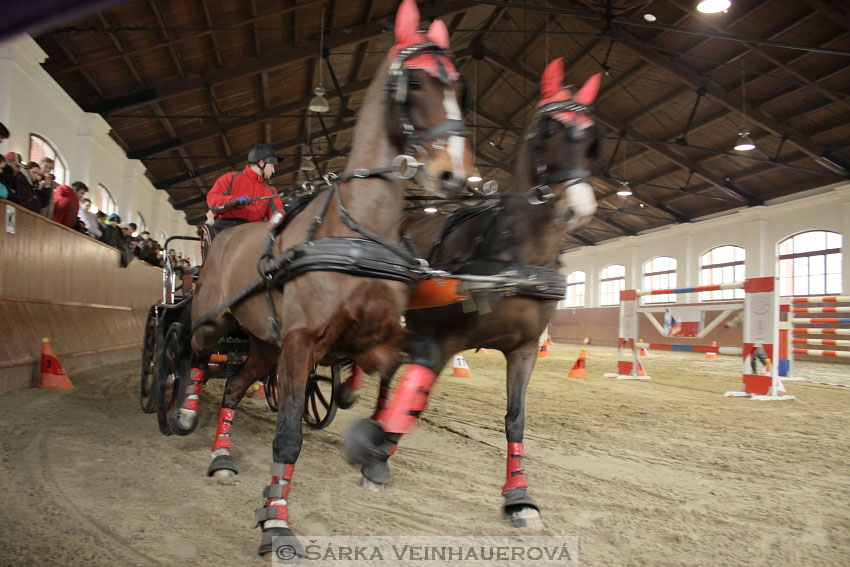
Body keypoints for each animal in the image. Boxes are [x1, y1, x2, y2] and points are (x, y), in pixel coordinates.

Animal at [166, 0, 474, 556]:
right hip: (215, 320)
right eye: (415, 82)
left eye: (460, 89)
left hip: (263, 344)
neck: (356, 231)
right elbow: (288, 435)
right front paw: (275, 523)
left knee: (234, 386)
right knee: (195, 357)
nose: (452, 175)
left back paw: (222, 457)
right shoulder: (301, 343)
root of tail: (225, 236)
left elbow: (412, 361)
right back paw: (184, 411)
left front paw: (373, 448)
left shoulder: (371, 339)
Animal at [342, 57, 600, 528]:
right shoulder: (446, 340)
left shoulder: (525, 348)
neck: (515, 257)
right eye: (549, 131)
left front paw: (518, 495)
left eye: (591, 139)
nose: (580, 208)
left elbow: (515, 418)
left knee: (389, 369)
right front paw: (378, 461)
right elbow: (418, 400)